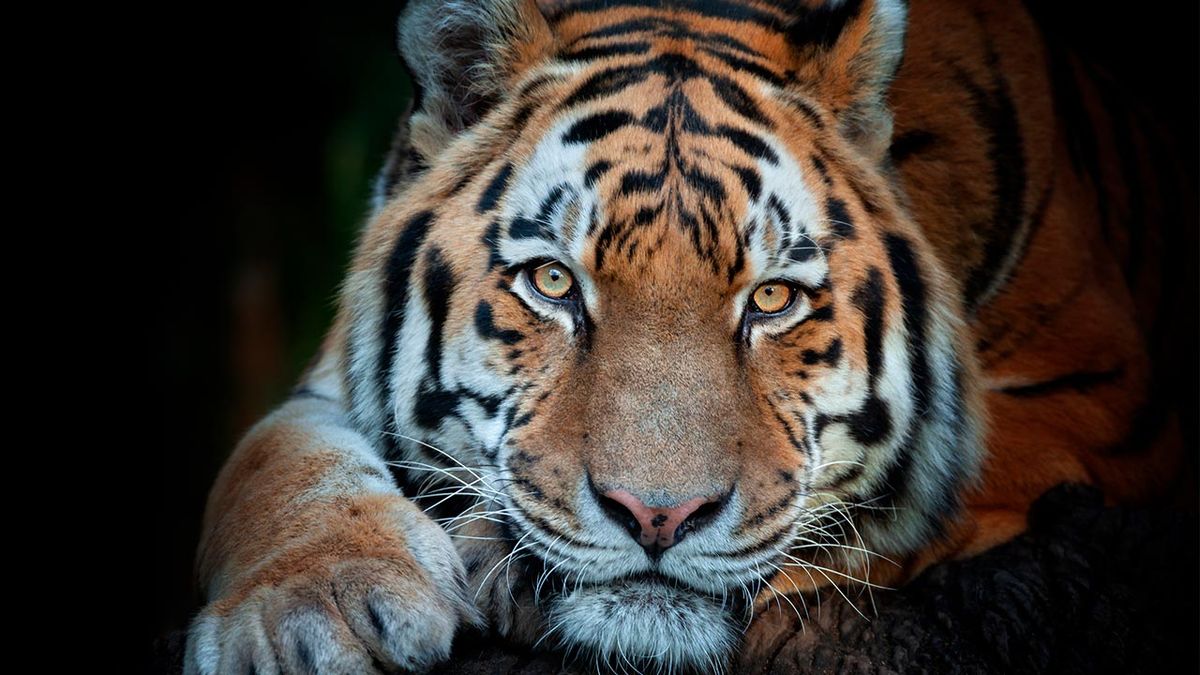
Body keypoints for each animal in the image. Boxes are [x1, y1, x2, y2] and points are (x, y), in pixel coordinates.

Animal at [184, 0, 1189, 673]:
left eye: (773, 299)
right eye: (554, 281)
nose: (657, 516)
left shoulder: (1086, 402)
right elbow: (272, 461)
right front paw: (311, 614)